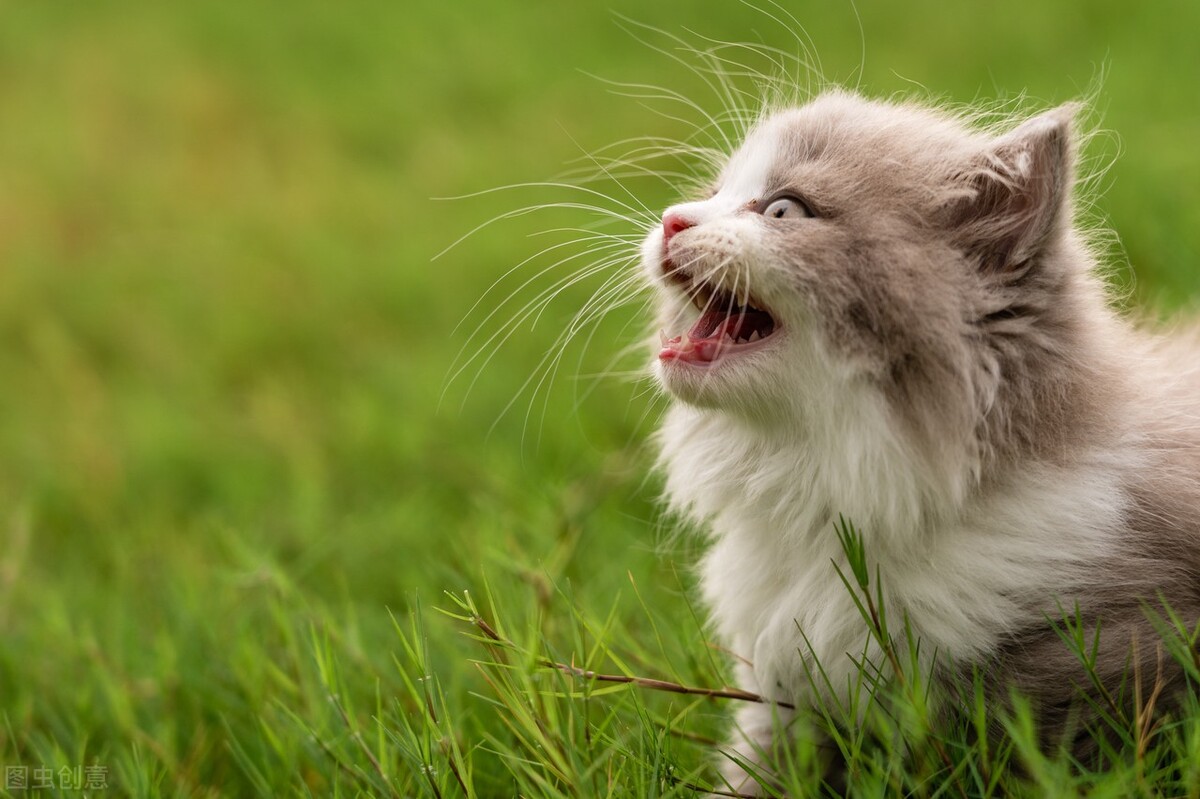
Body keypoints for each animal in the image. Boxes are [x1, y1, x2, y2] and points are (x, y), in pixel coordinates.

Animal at [643, 88, 1200, 791]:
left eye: (783, 209)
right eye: (712, 192)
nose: (672, 220)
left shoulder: (1107, 660)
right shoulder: (785, 693)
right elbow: (758, 773)